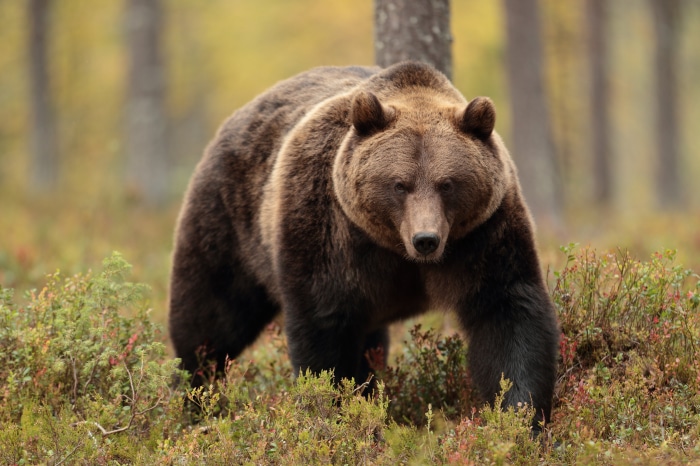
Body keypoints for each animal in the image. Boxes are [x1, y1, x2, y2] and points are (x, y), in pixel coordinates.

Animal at [169, 61, 560, 431]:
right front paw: (337, 414)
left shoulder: (484, 233)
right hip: (230, 221)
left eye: (447, 183)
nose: (426, 240)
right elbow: (324, 330)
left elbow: (506, 314)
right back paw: (191, 399)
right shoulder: (330, 232)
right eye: (400, 184)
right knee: (211, 319)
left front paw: (520, 417)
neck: (395, 247)